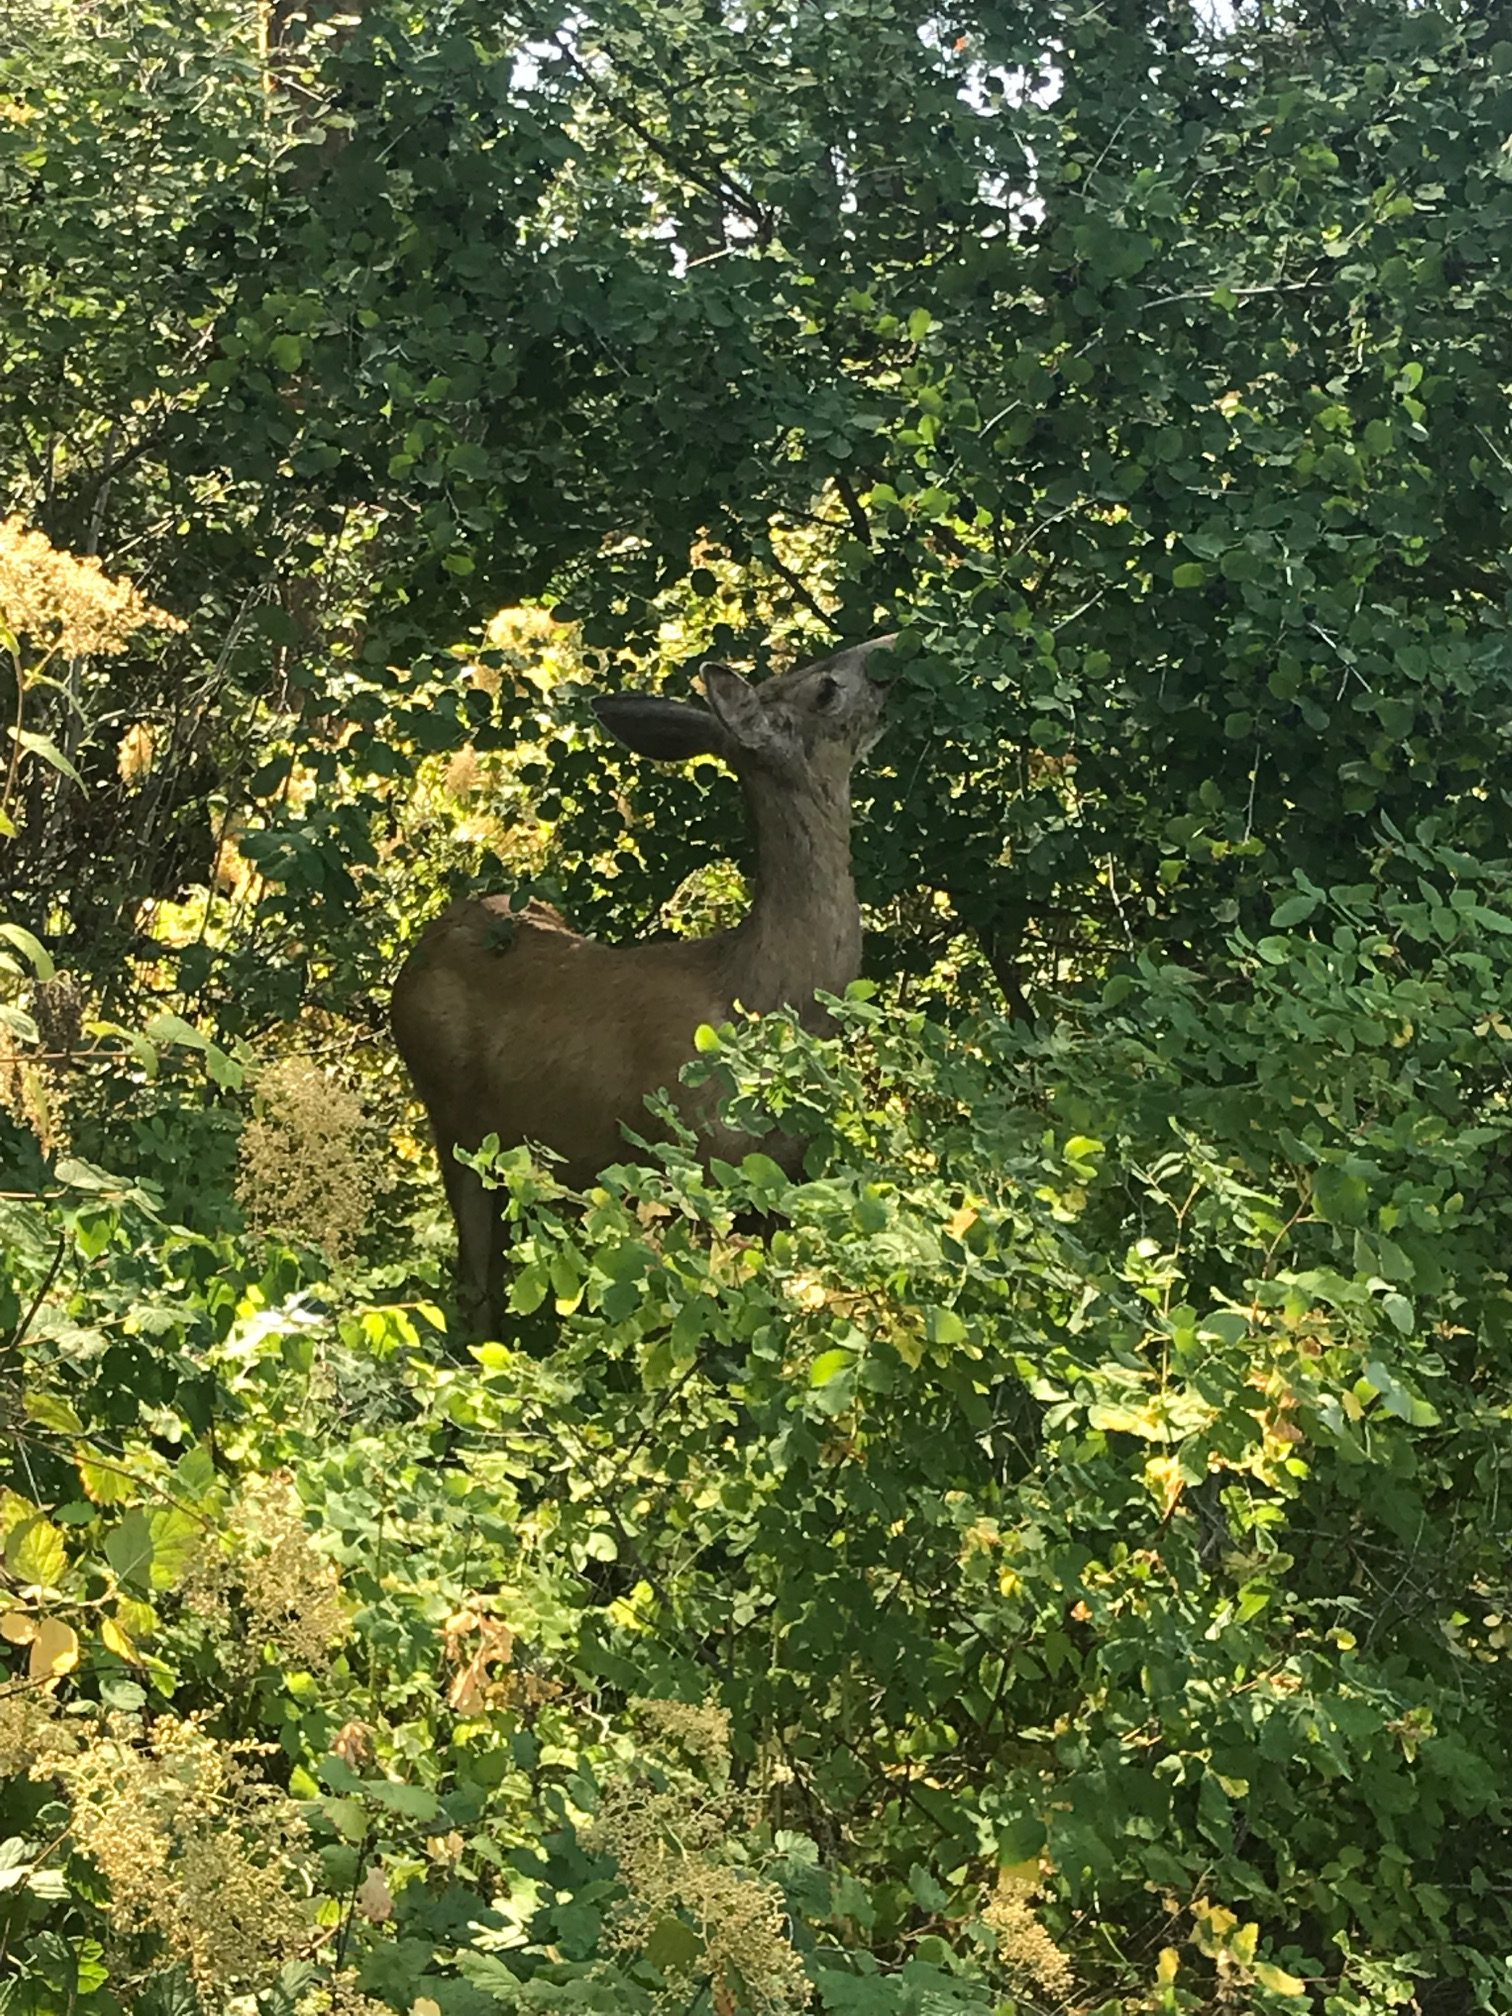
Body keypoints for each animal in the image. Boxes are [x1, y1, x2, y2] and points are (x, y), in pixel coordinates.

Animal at [390, 632, 897, 1332]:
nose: (891, 655)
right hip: (453, 1118)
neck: (762, 992)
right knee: (475, 1283)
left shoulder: (780, 1182)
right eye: (824, 688)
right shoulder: (690, 1160)